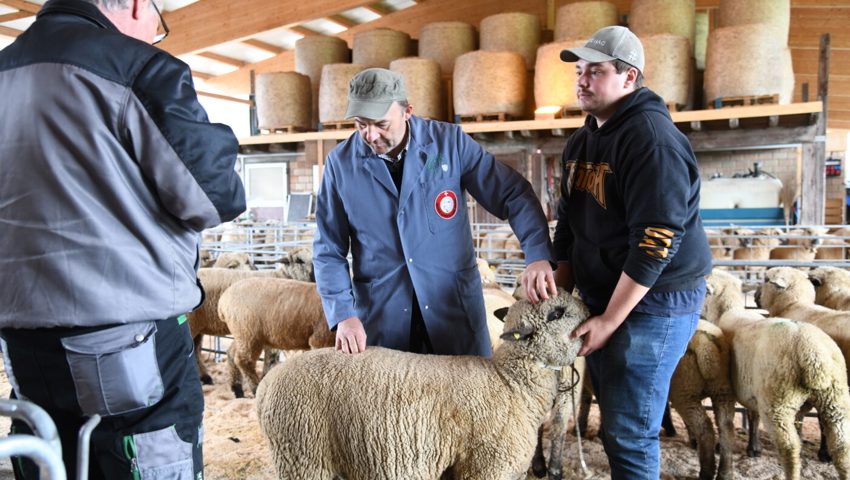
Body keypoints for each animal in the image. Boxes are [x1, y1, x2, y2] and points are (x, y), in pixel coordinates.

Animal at [255, 288, 588, 480]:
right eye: (556, 313)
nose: (589, 309)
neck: (510, 383)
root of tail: (265, 386)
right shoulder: (487, 466)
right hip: (303, 456)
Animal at [704, 268, 848, 478]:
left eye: (765, 280)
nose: (756, 294)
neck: (727, 311)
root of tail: (814, 354)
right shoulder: (752, 391)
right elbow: (753, 416)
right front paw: (754, 448)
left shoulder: (730, 388)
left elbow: (727, 423)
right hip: (835, 399)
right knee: (841, 446)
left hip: (777, 403)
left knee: (789, 448)